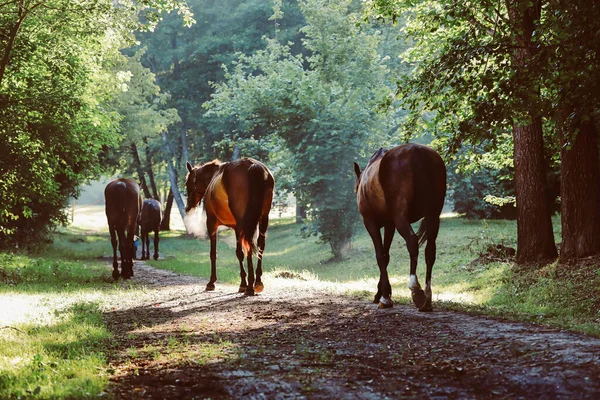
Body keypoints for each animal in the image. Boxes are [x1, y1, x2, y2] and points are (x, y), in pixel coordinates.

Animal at [184, 158, 276, 296]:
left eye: (188, 183)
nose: (188, 206)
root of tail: (252, 165)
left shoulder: (212, 223)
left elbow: (213, 253)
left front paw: (211, 282)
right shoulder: (237, 227)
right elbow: (239, 253)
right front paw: (242, 283)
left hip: (244, 221)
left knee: (249, 246)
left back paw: (251, 286)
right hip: (263, 218)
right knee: (260, 244)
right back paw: (257, 282)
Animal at [352, 144, 446, 312]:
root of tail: (416, 150)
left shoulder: (371, 223)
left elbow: (380, 256)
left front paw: (384, 297)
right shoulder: (390, 224)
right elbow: (386, 256)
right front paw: (382, 293)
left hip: (400, 217)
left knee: (412, 241)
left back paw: (416, 289)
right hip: (433, 216)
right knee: (430, 251)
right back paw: (427, 299)